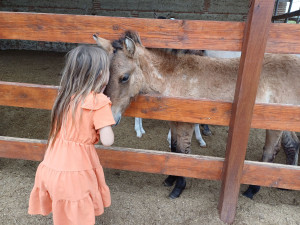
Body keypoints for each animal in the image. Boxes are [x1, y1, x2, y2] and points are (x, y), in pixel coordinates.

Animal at [92, 30, 298, 200]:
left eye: (124, 77)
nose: (110, 118)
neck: (173, 78)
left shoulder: (187, 122)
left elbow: (184, 152)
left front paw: (178, 188)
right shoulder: (174, 121)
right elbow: (174, 149)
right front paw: (170, 179)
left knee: (270, 152)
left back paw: (252, 190)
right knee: (290, 144)